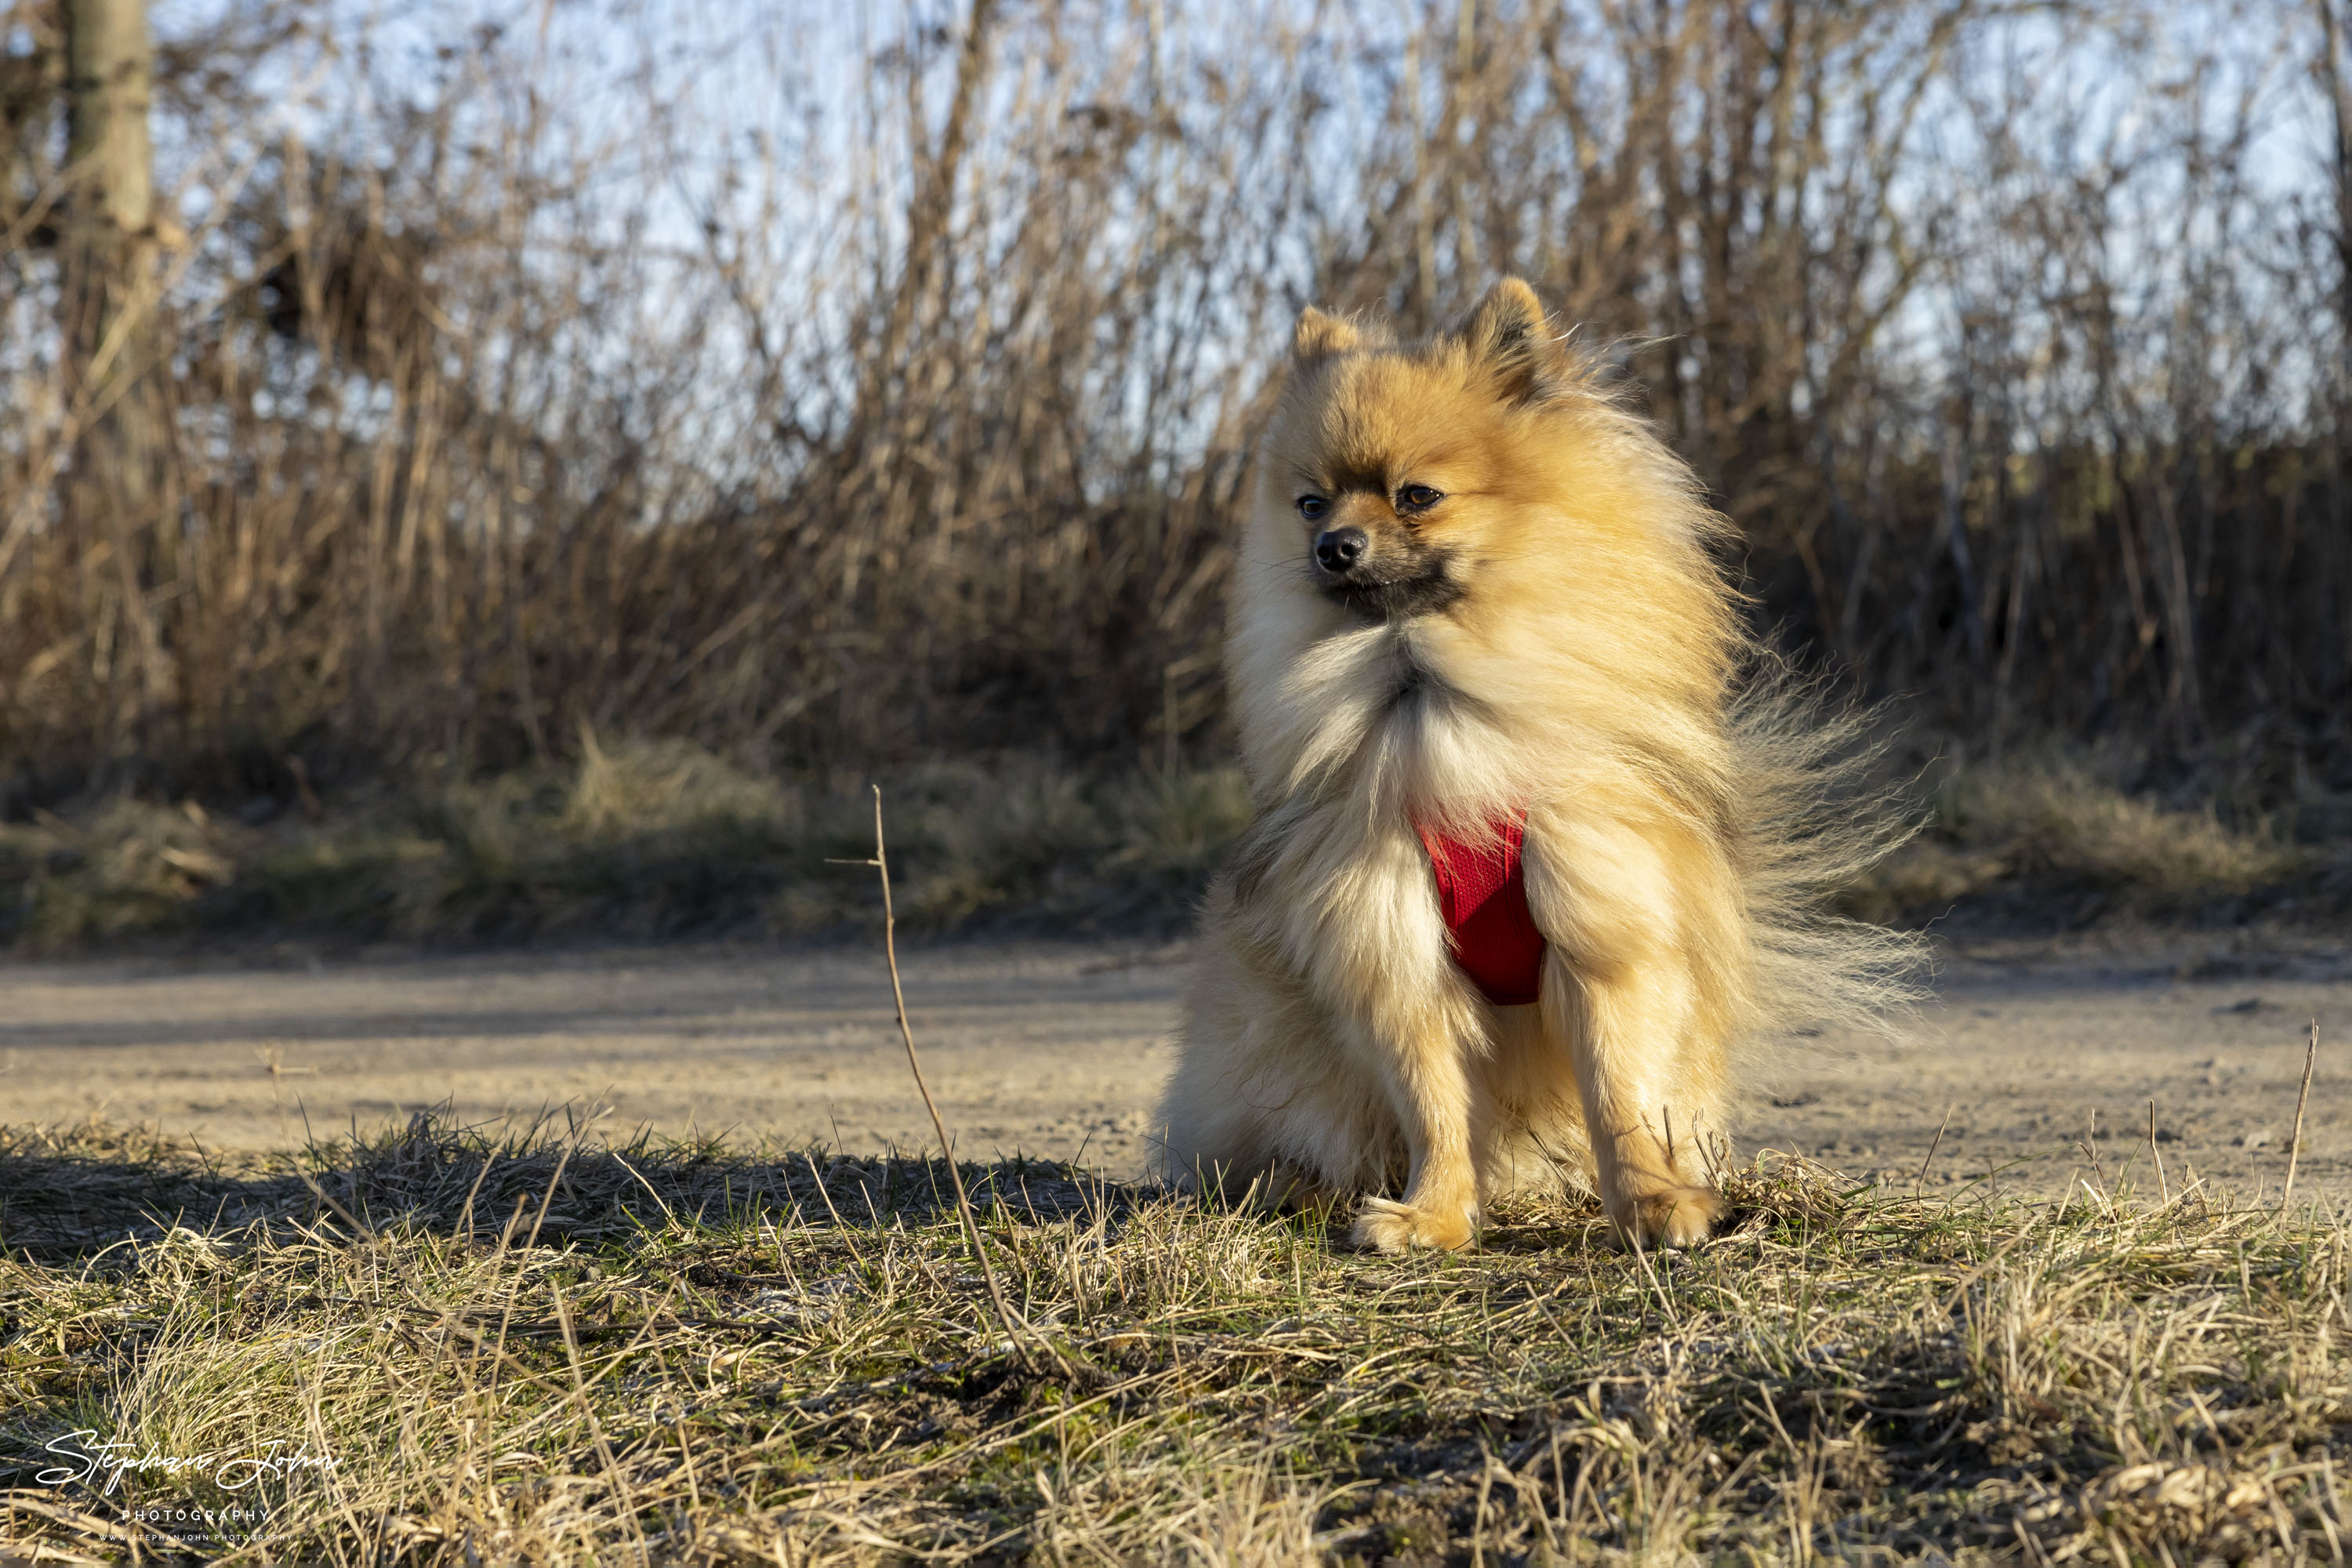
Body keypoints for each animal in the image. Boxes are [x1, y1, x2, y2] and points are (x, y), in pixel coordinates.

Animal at [1157, 272, 1910, 1250]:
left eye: (1417, 495)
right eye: (1312, 503)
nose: (1333, 548)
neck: (1433, 694)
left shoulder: (1601, 922)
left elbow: (1619, 1092)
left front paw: (1653, 1202)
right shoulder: (1392, 943)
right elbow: (1433, 1100)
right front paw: (1434, 1213)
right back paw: (1301, 1183)